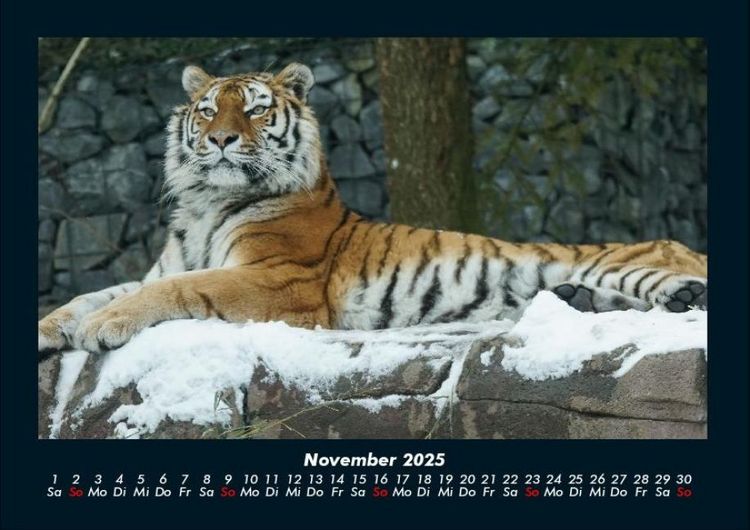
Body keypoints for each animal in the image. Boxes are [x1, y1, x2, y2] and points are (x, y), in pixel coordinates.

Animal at [38, 62, 708, 356]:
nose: (222, 139)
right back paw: (584, 301)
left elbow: (172, 291)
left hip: (631, 263)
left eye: (253, 109)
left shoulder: (279, 280)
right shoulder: (167, 264)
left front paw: (103, 327)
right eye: (207, 111)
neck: (207, 203)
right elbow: (93, 292)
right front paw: (55, 326)